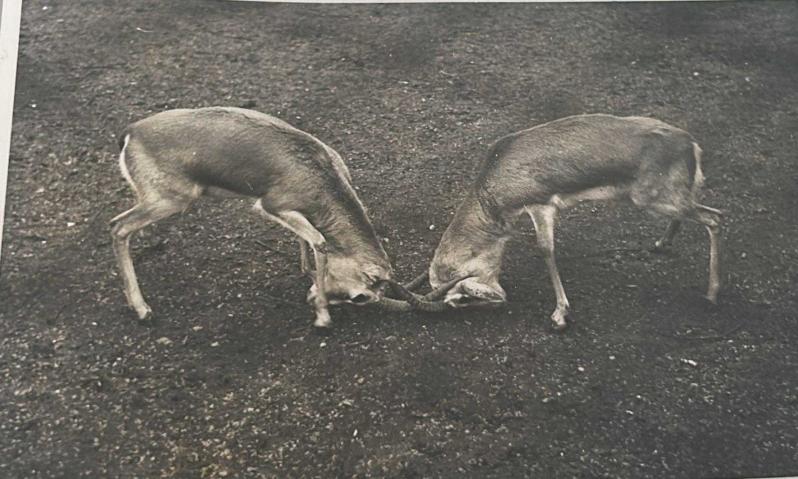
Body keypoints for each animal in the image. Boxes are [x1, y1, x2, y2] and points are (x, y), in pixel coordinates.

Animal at [110, 107, 448, 327]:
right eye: (360, 297)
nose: (313, 299)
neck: (318, 171)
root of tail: (131, 132)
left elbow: (305, 238)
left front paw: (305, 271)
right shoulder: (273, 206)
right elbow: (318, 240)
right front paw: (322, 318)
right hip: (171, 201)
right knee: (118, 227)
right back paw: (142, 309)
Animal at [426, 114, 723, 330]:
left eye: (462, 296)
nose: (500, 300)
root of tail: (691, 144)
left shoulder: (541, 206)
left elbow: (546, 250)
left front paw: (560, 315)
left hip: (651, 199)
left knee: (714, 218)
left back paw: (711, 293)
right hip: (663, 199)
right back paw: (661, 244)